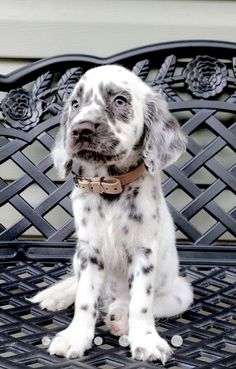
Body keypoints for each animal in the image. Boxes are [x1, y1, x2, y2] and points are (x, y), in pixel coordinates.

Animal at [29, 65, 193, 362]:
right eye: (75, 103)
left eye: (119, 100)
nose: (80, 129)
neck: (109, 185)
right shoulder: (89, 251)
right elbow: (84, 299)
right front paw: (75, 337)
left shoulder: (143, 252)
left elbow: (141, 303)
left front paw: (146, 341)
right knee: (77, 283)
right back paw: (56, 295)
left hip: (180, 292)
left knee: (137, 303)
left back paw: (118, 316)